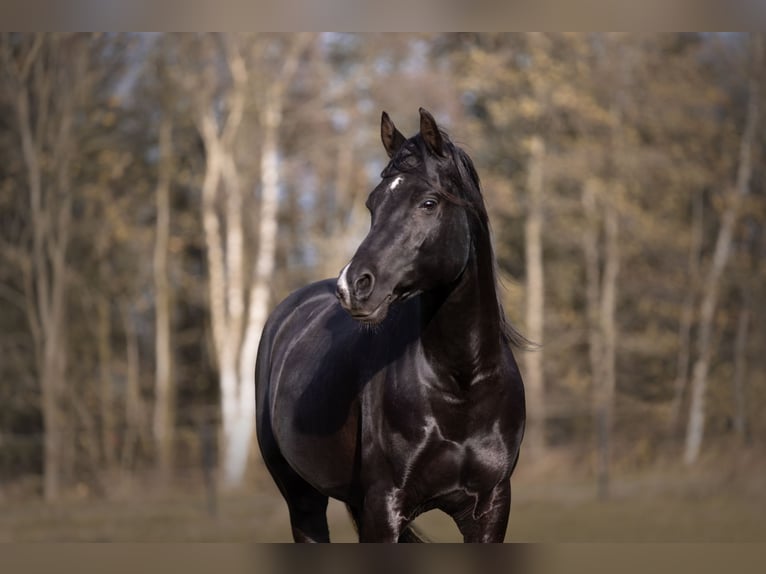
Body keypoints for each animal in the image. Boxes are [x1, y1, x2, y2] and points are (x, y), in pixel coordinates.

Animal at [255, 108, 526, 542]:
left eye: (429, 202)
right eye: (373, 203)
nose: (352, 286)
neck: (460, 385)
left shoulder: (492, 508)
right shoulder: (382, 508)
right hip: (302, 498)